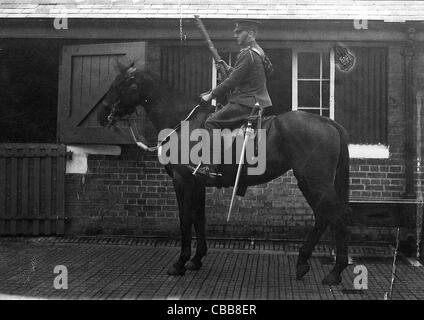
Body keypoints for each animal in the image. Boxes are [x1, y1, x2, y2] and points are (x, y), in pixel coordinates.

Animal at [98, 67, 352, 284]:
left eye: (120, 83)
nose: (102, 113)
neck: (182, 121)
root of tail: (327, 121)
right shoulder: (197, 183)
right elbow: (199, 218)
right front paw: (196, 259)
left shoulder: (182, 181)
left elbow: (185, 220)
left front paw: (180, 263)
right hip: (308, 183)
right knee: (323, 216)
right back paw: (303, 263)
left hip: (315, 182)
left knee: (337, 215)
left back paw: (335, 271)